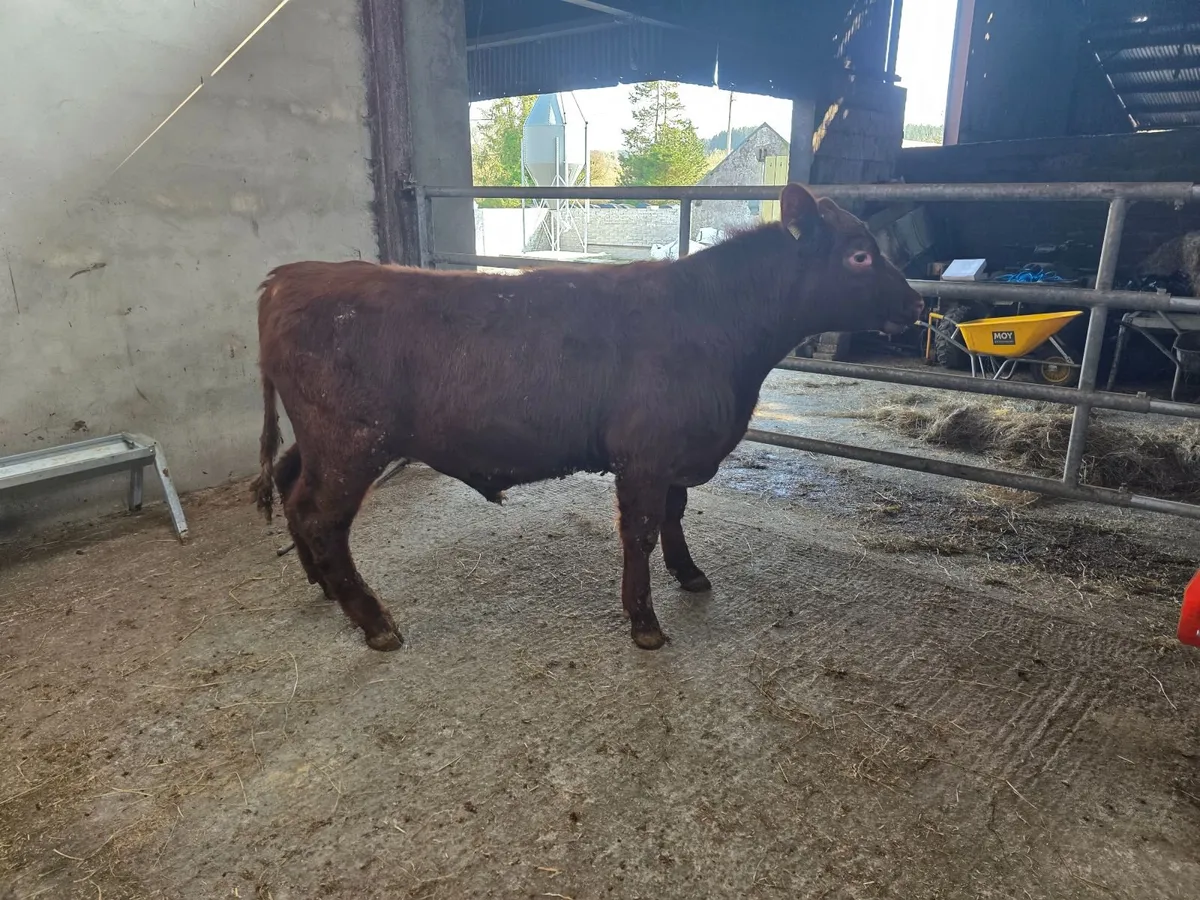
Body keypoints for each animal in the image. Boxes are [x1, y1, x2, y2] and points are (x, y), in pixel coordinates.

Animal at [251, 183, 923, 652]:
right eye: (860, 256)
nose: (917, 304)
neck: (715, 323)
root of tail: (288, 277)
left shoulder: (673, 453)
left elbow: (675, 515)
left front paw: (690, 574)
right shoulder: (644, 455)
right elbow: (641, 531)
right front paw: (644, 622)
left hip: (320, 438)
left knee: (290, 485)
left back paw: (321, 586)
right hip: (350, 443)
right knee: (321, 518)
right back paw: (374, 622)